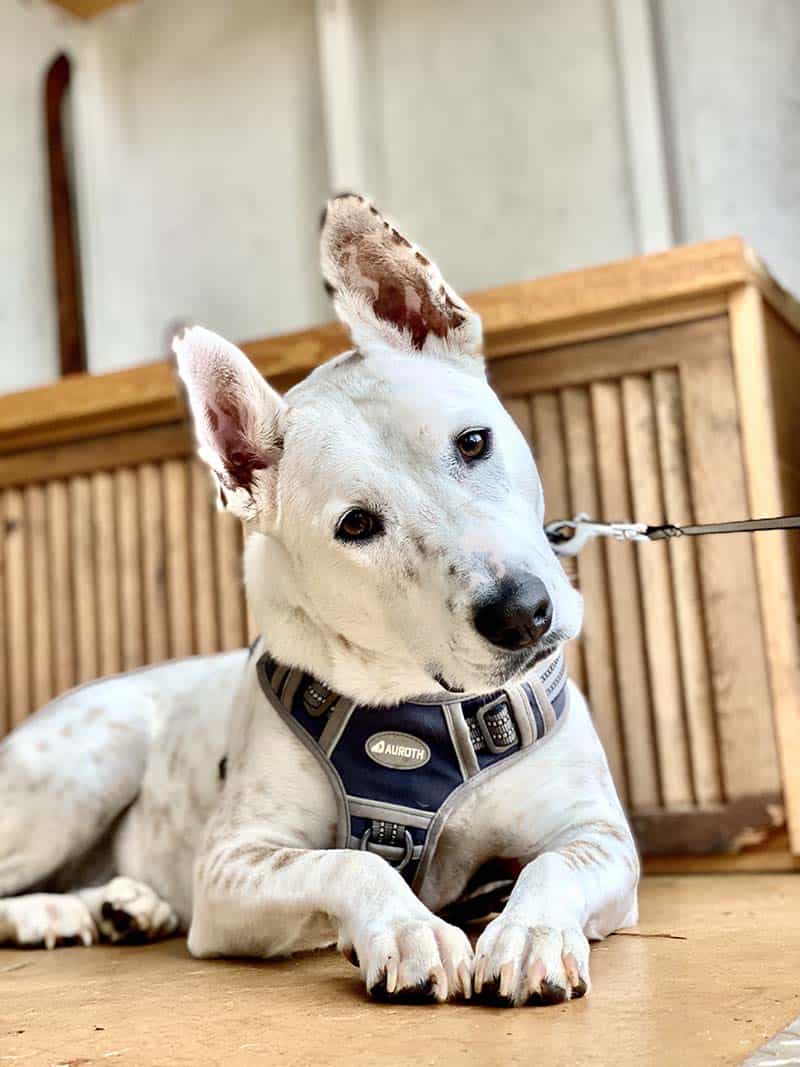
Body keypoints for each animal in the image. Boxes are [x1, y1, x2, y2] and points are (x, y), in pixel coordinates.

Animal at [0, 196, 640, 1002]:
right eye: (356, 525)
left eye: (472, 442)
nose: (522, 613)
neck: (418, 713)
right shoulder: (230, 866)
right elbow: (349, 860)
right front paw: (409, 930)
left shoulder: (599, 837)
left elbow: (555, 862)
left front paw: (529, 933)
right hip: (91, 758)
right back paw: (46, 913)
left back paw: (123, 906)